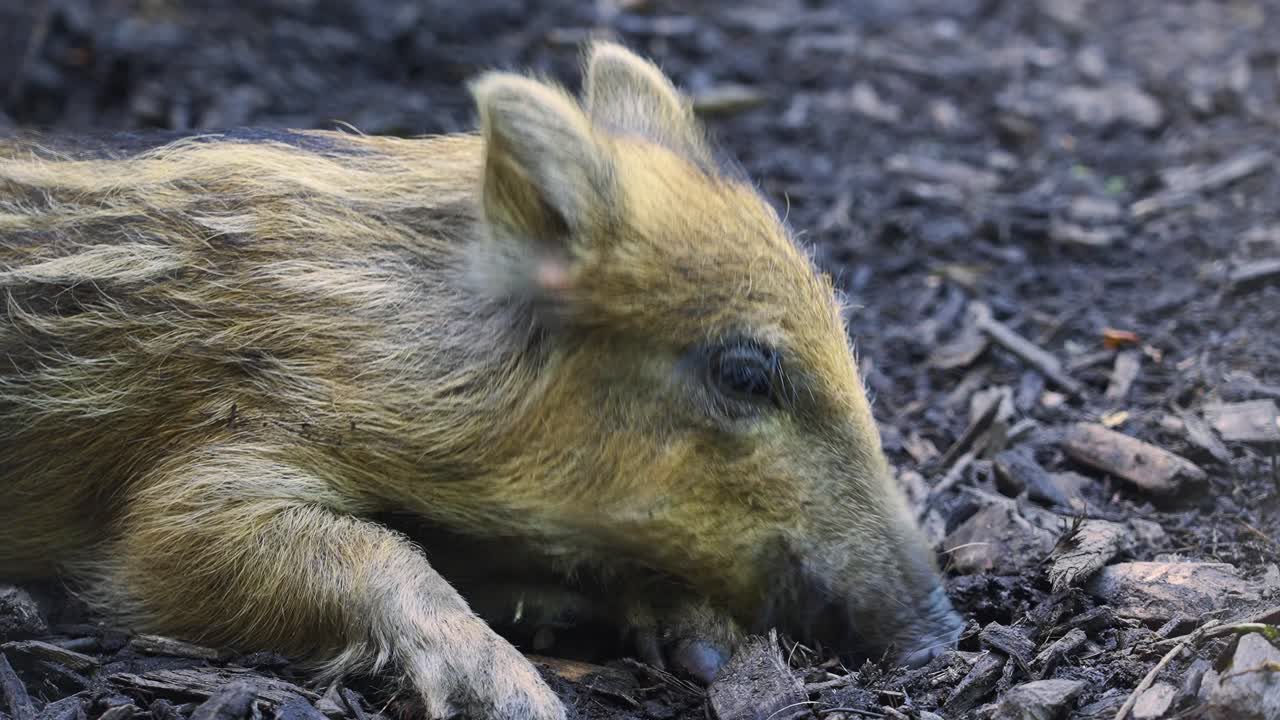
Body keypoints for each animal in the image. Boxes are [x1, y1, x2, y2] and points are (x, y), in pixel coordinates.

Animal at [0, 42, 963, 720]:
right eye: (746, 373)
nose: (943, 635)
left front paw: (705, 650)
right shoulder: (196, 474)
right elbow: (231, 546)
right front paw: (521, 698)